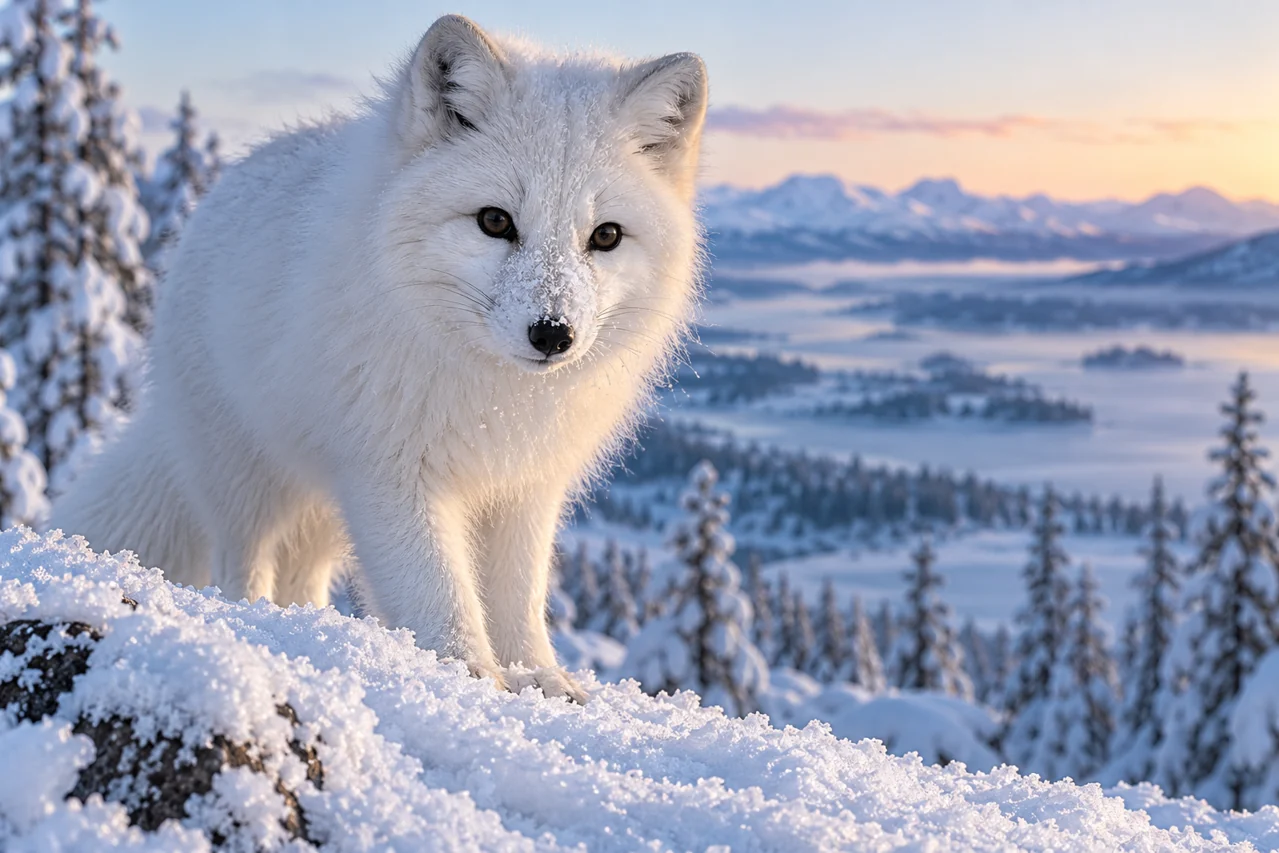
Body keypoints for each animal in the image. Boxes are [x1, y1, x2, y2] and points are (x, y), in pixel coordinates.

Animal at [50, 14, 708, 701]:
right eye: (495, 221)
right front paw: (471, 677)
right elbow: (437, 593)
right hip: (245, 475)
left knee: (302, 577)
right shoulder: (391, 475)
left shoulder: (523, 487)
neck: (492, 397)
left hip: (323, 506)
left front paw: (538, 678)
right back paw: (257, 618)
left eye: (605, 236)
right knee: (242, 560)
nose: (553, 334)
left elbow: (518, 599)